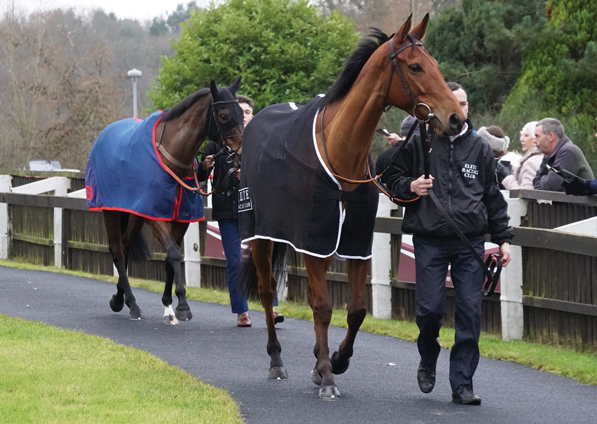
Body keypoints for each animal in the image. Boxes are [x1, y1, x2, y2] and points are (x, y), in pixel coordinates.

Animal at [85, 78, 243, 324]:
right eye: (224, 115)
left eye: (242, 113)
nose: (241, 151)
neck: (172, 158)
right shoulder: (154, 215)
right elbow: (174, 253)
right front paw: (183, 305)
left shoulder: (180, 218)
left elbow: (171, 258)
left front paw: (169, 305)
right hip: (111, 211)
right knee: (118, 251)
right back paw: (132, 304)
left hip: (135, 215)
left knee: (126, 245)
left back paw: (119, 298)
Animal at [237, 14, 466, 400]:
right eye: (416, 66)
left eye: (434, 63)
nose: (455, 118)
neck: (342, 153)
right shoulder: (315, 243)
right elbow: (322, 307)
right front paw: (328, 376)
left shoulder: (357, 242)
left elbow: (357, 310)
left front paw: (335, 361)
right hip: (259, 234)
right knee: (268, 291)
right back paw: (276, 360)